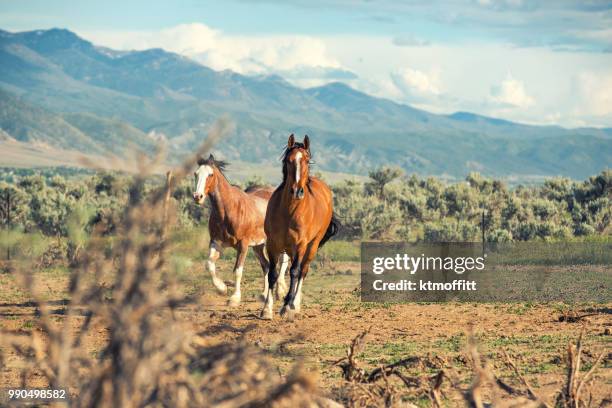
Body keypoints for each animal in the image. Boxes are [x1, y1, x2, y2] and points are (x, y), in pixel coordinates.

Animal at [192, 154, 288, 306]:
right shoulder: (216, 242)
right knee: (266, 266)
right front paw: (222, 288)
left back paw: (280, 292)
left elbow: (238, 270)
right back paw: (264, 294)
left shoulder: (243, 244)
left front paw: (234, 298)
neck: (228, 210)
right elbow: (209, 264)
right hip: (258, 246)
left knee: (283, 262)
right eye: (196, 174)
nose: (197, 197)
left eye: (210, 174)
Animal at [260, 135, 340, 320]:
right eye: (288, 160)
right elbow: (273, 273)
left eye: (307, 160)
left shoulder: (301, 244)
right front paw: (267, 309)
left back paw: (294, 304)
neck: (289, 211)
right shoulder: (273, 244)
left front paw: (287, 307)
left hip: (312, 245)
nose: (297, 191)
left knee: (303, 270)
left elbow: (295, 272)